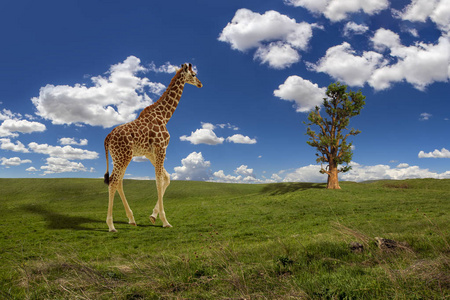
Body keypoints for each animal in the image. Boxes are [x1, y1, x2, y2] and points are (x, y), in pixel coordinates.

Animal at [103, 63, 202, 232]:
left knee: (118, 181)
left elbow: (166, 178)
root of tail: (108, 137)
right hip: (123, 156)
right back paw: (111, 225)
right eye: (194, 74)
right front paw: (165, 221)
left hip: (120, 157)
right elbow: (158, 180)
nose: (200, 84)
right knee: (113, 181)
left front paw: (153, 216)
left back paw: (131, 220)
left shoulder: (150, 153)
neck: (165, 116)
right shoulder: (161, 147)